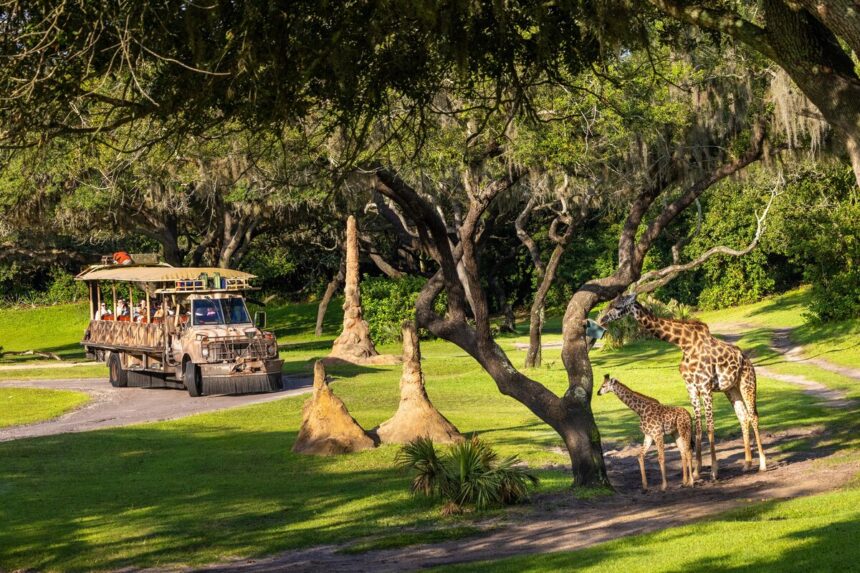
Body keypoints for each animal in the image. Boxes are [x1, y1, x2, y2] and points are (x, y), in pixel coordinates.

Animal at [600, 294, 766, 480]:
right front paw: (696, 471)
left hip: (747, 382)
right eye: (610, 303)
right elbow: (699, 428)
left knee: (753, 416)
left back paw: (762, 464)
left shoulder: (705, 386)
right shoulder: (691, 387)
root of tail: (747, 359)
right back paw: (747, 464)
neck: (683, 343)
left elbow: (710, 427)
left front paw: (714, 471)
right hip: (731, 388)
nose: (602, 319)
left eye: (618, 307)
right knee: (743, 417)